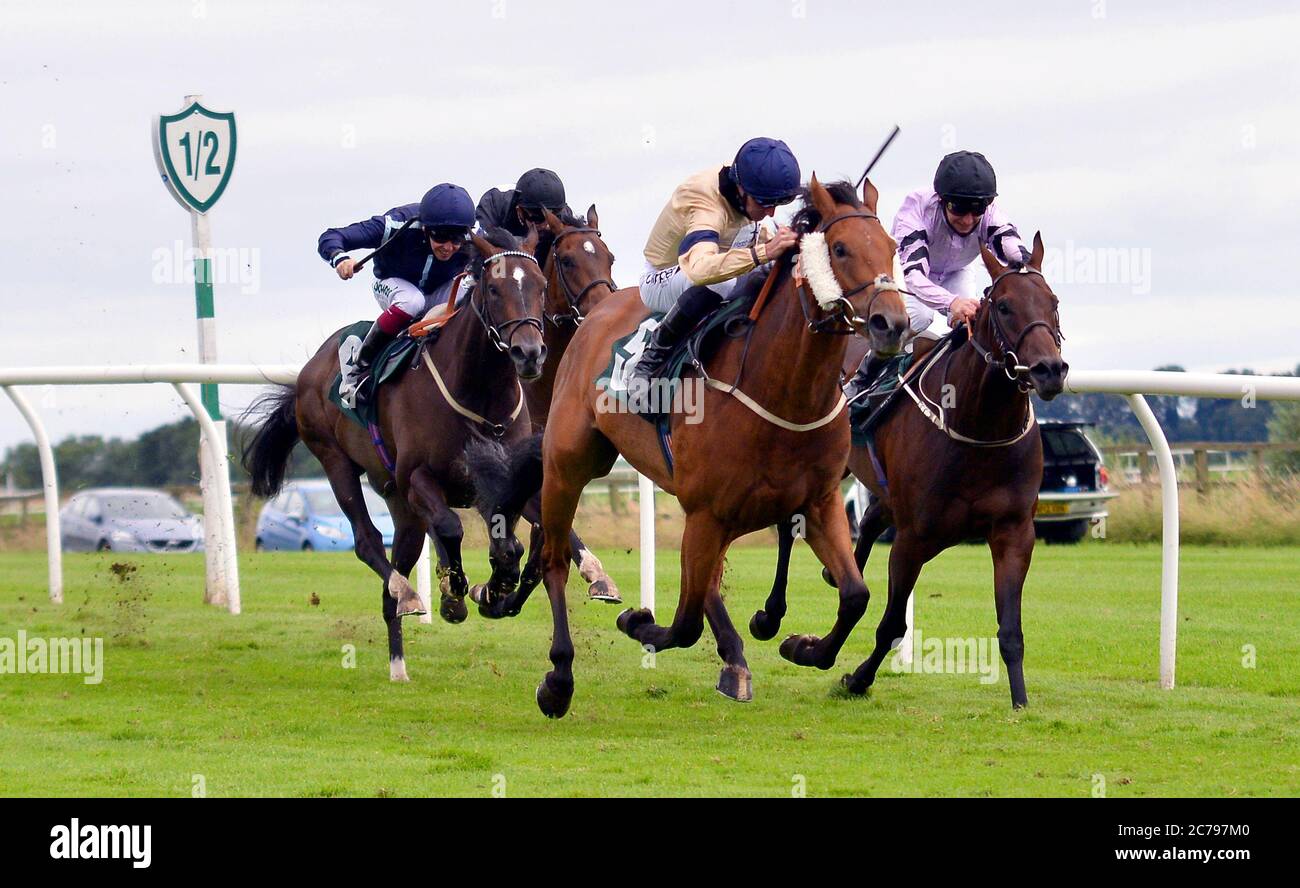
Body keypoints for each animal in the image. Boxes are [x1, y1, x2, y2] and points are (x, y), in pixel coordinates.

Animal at [244, 226, 553, 686]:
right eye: (494, 289)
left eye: (541, 286)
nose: (528, 353)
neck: (478, 390)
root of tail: (310, 368)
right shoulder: (418, 477)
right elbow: (451, 527)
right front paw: (455, 594)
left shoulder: (499, 482)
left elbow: (512, 545)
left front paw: (493, 591)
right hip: (336, 461)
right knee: (367, 541)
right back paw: (407, 598)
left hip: (399, 504)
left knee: (401, 557)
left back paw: (399, 660)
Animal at [488, 176, 915, 717]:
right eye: (839, 249)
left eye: (892, 247)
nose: (892, 323)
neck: (783, 391)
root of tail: (598, 314)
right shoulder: (707, 512)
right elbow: (685, 622)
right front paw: (637, 622)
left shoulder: (816, 502)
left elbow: (856, 594)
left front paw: (804, 647)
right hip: (570, 464)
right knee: (555, 560)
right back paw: (559, 677)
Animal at [754, 234, 1066, 707]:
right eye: (1005, 306)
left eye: (1053, 302)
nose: (1050, 370)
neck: (977, 427)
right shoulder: (914, 538)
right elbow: (890, 625)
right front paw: (839, 668)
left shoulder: (1015, 533)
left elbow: (1011, 629)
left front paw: (1020, 702)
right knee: (793, 528)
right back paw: (770, 615)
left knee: (868, 518)